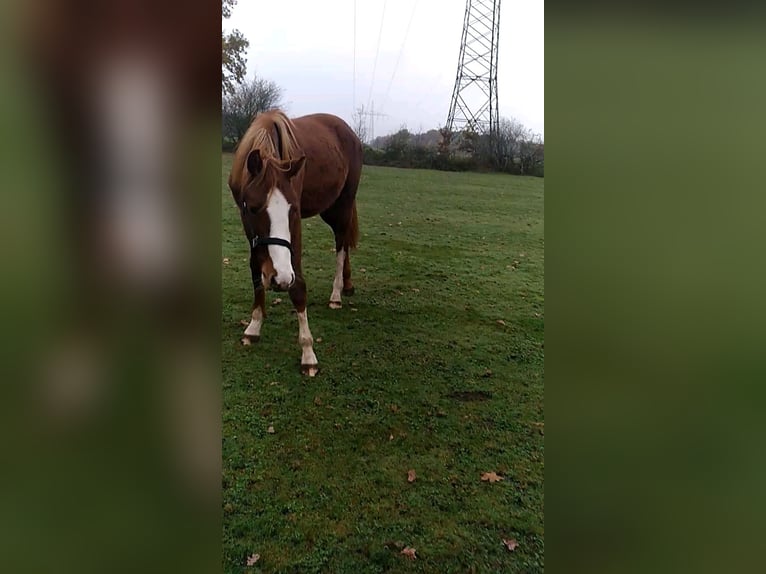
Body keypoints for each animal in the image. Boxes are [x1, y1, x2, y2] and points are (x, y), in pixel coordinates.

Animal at [228, 109, 364, 378]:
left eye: (292, 211)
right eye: (254, 208)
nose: (279, 278)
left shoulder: (296, 226)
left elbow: (298, 286)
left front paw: (308, 351)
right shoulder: (248, 226)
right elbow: (254, 270)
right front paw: (254, 325)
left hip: (343, 205)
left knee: (341, 244)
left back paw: (336, 293)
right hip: (329, 209)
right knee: (343, 242)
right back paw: (347, 284)